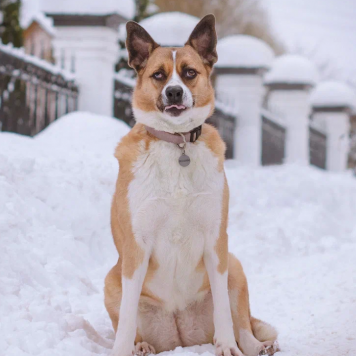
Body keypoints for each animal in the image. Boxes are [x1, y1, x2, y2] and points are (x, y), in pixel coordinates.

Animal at [104, 13, 280, 356]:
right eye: (158, 75)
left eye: (189, 73)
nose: (174, 92)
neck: (177, 145)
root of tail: (180, 337)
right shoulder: (136, 246)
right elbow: (128, 316)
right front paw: (122, 350)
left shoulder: (216, 240)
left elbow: (224, 309)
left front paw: (226, 347)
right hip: (110, 278)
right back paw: (140, 346)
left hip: (234, 264)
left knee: (243, 324)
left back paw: (256, 346)